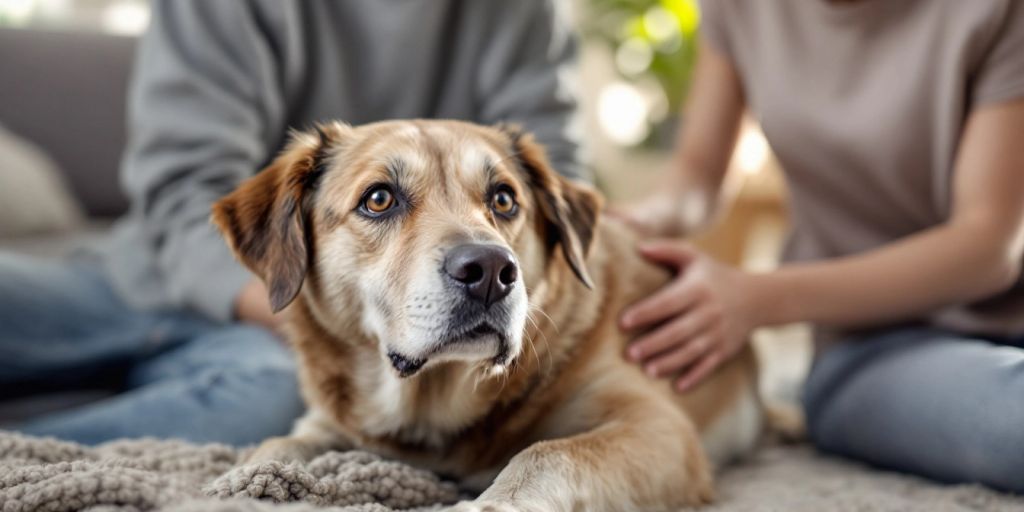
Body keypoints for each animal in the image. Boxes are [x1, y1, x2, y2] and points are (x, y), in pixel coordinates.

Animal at [211, 120, 765, 512]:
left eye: (503, 198)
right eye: (379, 199)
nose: (492, 271)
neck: (432, 405)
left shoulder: (658, 427)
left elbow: (547, 453)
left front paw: (491, 503)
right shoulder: (327, 424)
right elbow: (275, 444)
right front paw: (233, 483)